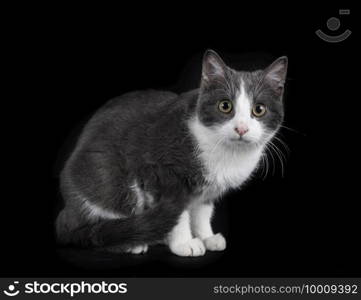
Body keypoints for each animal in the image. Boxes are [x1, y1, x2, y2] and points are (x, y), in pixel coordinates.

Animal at [55, 49, 286, 255]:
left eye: (259, 109)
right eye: (225, 106)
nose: (241, 129)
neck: (227, 154)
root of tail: (65, 214)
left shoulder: (208, 191)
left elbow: (202, 212)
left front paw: (207, 237)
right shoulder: (160, 173)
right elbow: (179, 213)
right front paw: (185, 244)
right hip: (108, 180)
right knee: (99, 229)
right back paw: (131, 243)